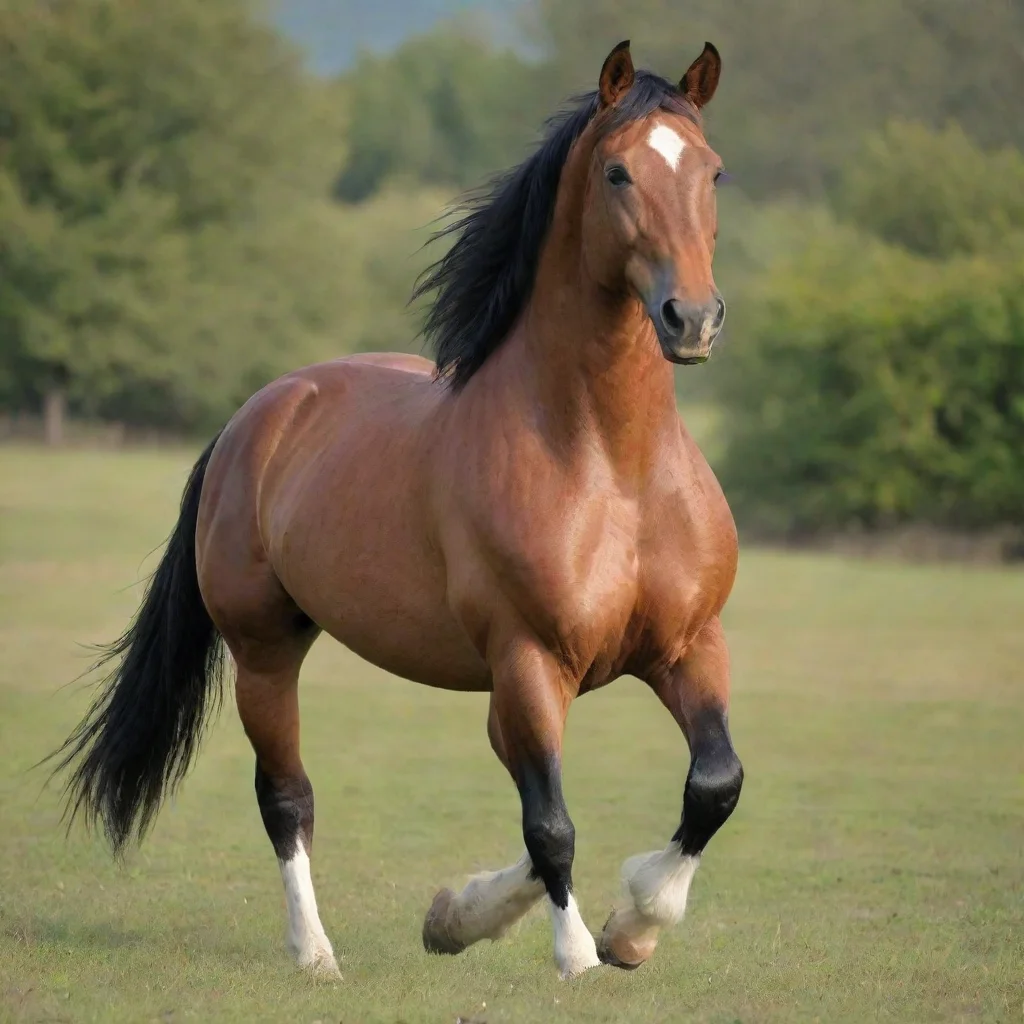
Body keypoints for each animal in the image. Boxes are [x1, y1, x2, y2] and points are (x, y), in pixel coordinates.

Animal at [49, 39, 743, 980]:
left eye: (713, 171)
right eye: (617, 172)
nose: (691, 318)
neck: (612, 467)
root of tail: (259, 413)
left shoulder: (688, 646)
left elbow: (713, 786)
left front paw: (621, 924)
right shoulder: (528, 662)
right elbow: (552, 826)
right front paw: (575, 955)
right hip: (265, 652)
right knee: (286, 798)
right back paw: (314, 954)